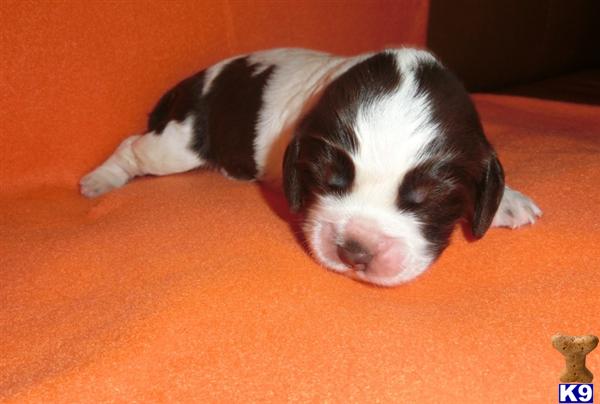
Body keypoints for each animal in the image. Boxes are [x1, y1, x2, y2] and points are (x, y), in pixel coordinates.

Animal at [79, 47, 544, 286]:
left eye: (429, 198)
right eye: (325, 178)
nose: (354, 251)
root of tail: (194, 80)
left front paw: (507, 201)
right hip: (177, 145)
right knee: (134, 147)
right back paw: (99, 180)